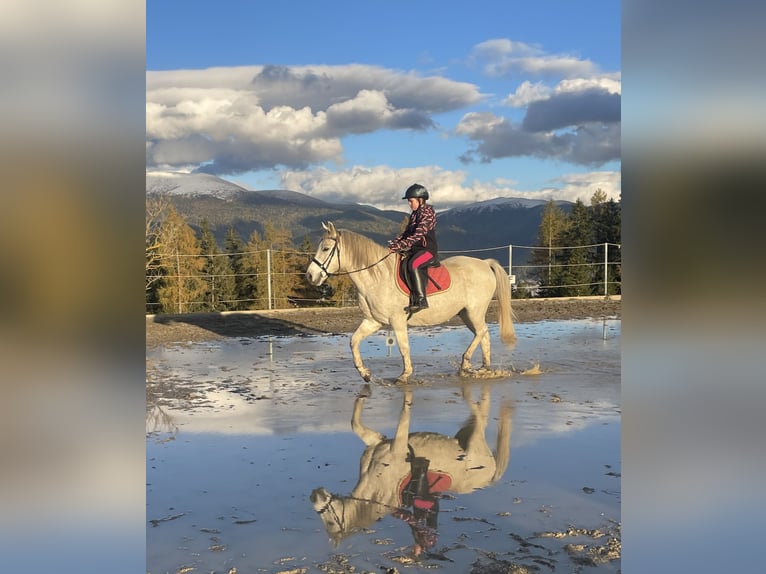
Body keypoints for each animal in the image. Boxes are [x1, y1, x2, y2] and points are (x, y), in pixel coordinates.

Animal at [305, 221, 516, 383]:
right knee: (483, 335)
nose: (310, 276)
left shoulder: (397, 320)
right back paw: (483, 368)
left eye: (325, 248)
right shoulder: (373, 321)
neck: (377, 276)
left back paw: (465, 363)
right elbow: (353, 341)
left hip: (474, 311)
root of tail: (485, 264)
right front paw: (365, 374)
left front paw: (405, 375)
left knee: (482, 332)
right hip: (466, 314)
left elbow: (403, 347)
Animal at [310, 384, 514, 547]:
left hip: (476, 440)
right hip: (466, 434)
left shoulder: (398, 445)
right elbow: (354, 422)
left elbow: (403, 415)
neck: (375, 488)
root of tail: (490, 476)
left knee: (481, 413)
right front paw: (365, 390)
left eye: (330, 523)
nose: (313, 495)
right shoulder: (374, 440)